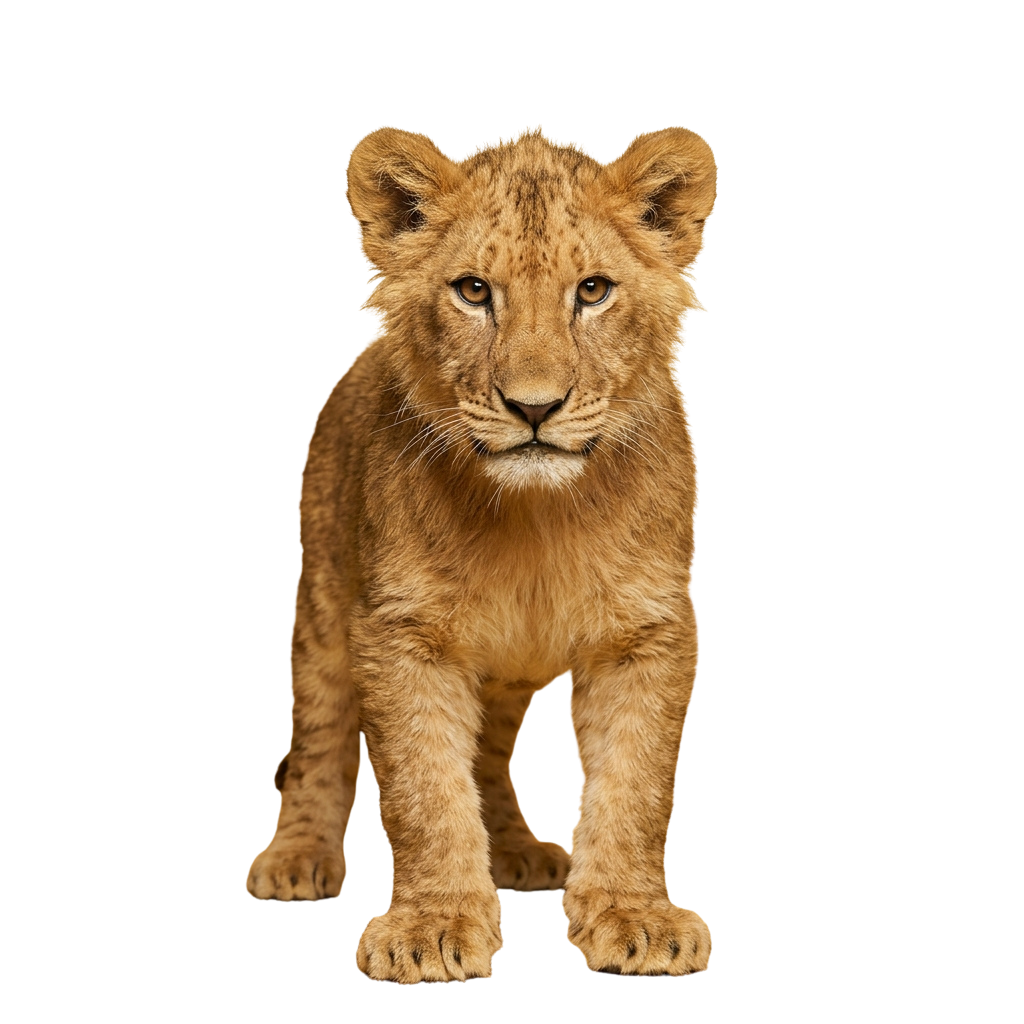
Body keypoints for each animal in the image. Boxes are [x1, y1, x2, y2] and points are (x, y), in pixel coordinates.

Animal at [246, 125, 717, 983]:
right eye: (472, 291)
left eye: (592, 290)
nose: (534, 407)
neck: (535, 523)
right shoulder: (398, 633)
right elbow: (424, 789)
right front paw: (432, 927)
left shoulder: (649, 632)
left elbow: (636, 785)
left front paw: (633, 916)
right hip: (322, 599)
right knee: (319, 737)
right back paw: (297, 857)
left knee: (490, 757)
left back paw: (518, 852)